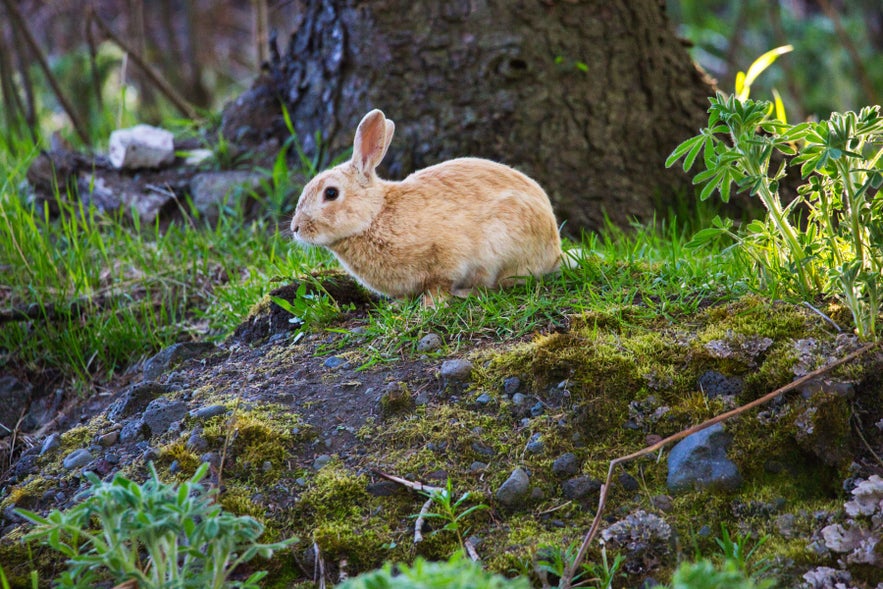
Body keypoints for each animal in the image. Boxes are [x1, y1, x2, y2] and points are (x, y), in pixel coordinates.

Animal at [290, 109, 565, 305]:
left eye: (331, 193)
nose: (295, 228)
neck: (375, 215)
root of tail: (554, 250)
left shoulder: (447, 258)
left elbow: (439, 284)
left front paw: (430, 306)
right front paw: (398, 306)